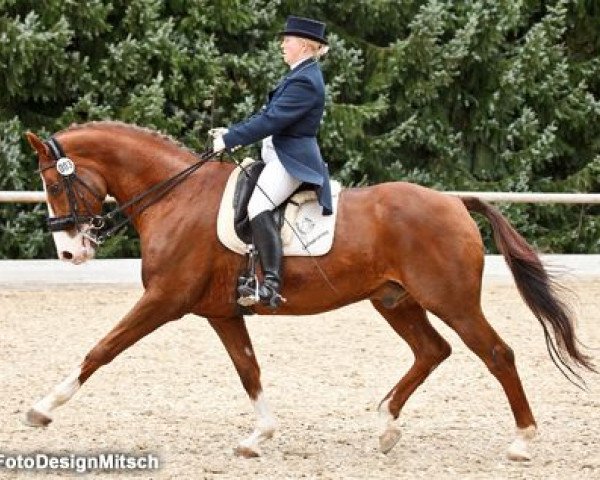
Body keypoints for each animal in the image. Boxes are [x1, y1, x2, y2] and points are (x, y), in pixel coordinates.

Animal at [23, 122, 592, 460]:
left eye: (51, 184)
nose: (70, 253)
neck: (175, 196)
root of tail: (453, 201)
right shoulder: (221, 313)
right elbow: (249, 370)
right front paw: (259, 436)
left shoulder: (164, 300)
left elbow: (101, 349)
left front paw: (42, 409)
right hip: (395, 300)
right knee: (432, 351)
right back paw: (386, 426)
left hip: (451, 301)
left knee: (497, 353)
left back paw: (522, 441)